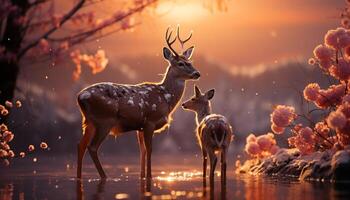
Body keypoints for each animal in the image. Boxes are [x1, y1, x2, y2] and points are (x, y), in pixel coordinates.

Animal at [77, 26, 201, 180]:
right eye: (181, 63)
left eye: (190, 62)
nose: (197, 73)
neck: (166, 98)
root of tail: (81, 97)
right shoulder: (150, 121)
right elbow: (150, 149)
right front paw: (149, 176)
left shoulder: (140, 127)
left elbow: (142, 151)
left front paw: (142, 176)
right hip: (104, 120)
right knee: (92, 147)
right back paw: (104, 176)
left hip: (89, 122)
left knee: (80, 145)